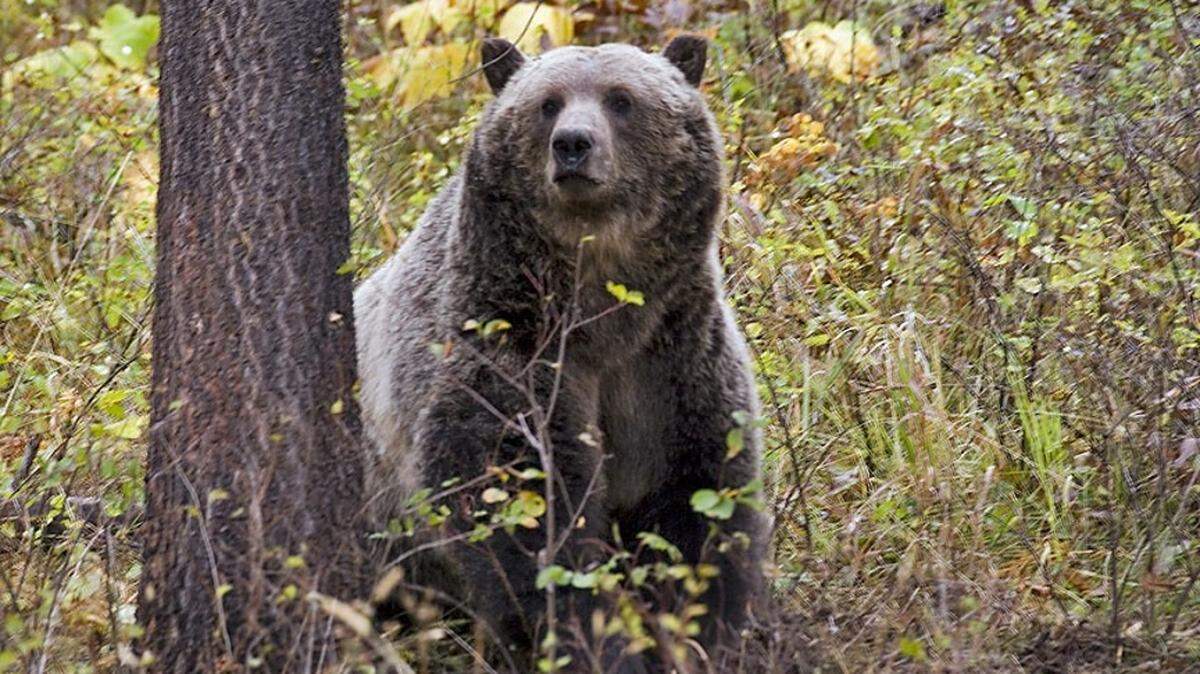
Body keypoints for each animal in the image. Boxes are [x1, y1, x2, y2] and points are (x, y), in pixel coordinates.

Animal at [354, 35, 765, 672]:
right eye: (547, 102)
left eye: (621, 99)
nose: (573, 144)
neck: (601, 307)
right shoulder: (509, 345)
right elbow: (524, 506)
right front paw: (590, 639)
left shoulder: (671, 358)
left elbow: (696, 498)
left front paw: (703, 629)